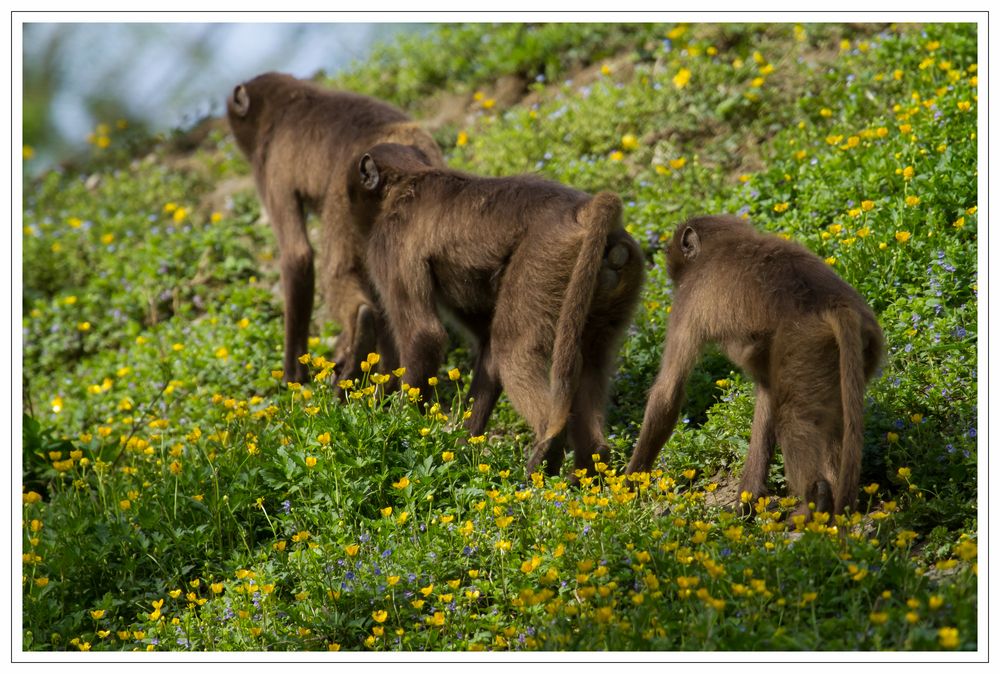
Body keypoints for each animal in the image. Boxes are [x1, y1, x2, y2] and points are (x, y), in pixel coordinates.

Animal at [229, 73, 448, 384]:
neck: (286, 102)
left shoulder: (270, 167)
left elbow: (297, 256)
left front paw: (291, 375)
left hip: (344, 199)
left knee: (339, 268)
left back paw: (361, 338)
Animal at [348, 144, 644, 476]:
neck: (408, 179)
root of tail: (582, 210)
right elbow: (485, 346)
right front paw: (460, 456)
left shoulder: (388, 243)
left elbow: (426, 335)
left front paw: (400, 434)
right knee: (589, 359)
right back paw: (592, 462)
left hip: (542, 258)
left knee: (511, 348)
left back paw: (549, 447)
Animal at [628, 215, 888, 516]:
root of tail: (836, 304)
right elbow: (766, 396)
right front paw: (746, 501)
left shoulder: (687, 299)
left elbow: (668, 392)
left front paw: (627, 486)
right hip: (858, 350)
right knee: (830, 421)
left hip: (806, 347)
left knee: (793, 418)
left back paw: (815, 503)